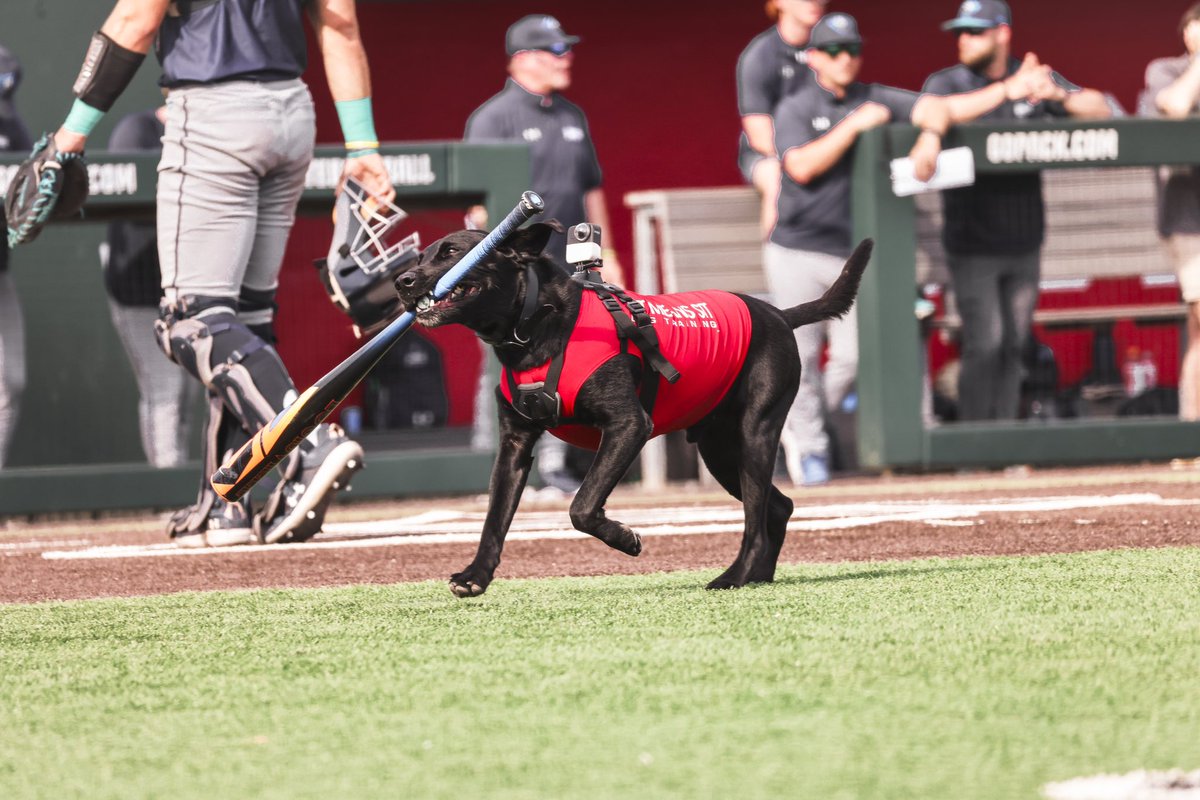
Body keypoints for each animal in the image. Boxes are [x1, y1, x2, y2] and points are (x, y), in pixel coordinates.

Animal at [393, 221, 873, 597]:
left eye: (453, 253)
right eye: (421, 255)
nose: (402, 281)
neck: (536, 329)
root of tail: (778, 314)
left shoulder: (628, 426)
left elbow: (583, 505)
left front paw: (626, 539)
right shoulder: (514, 444)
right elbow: (495, 518)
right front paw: (475, 575)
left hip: (755, 435)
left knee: (755, 518)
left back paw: (734, 576)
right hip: (720, 452)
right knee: (779, 507)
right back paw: (757, 577)